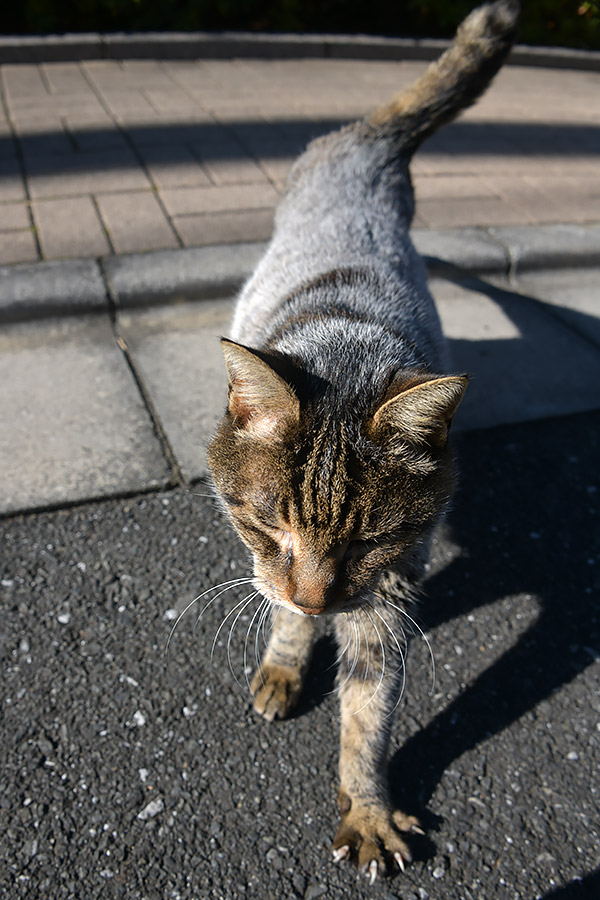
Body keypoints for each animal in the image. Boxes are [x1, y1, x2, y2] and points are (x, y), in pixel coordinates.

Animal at [207, 0, 520, 884]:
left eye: (369, 540)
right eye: (268, 524)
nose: (319, 599)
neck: (347, 345)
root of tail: (362, 148)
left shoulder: (389, 590)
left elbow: (368, 714)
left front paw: (367, 807)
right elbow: (276, 603)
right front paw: (288, 652)